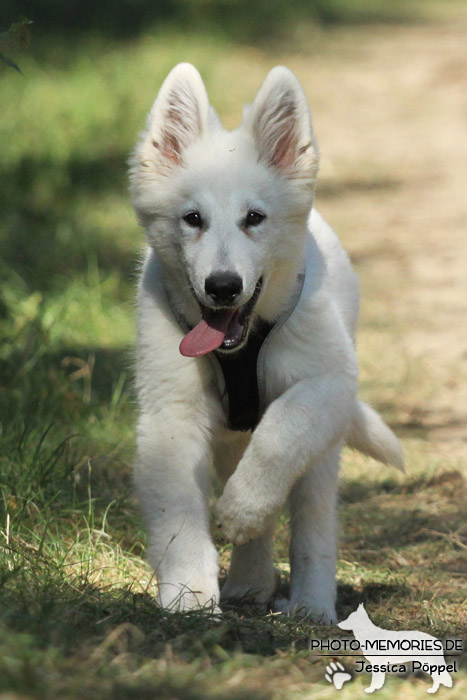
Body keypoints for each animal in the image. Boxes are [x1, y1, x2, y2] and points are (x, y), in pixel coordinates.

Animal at [130, 64, 404, 624]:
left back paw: (311, 605)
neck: (243, 344)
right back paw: (250, 583)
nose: (222, 287)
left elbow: (282, 431)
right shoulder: (171, 414)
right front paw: (189, 597)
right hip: (230, 435)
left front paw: (241, 508)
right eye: (193, 218)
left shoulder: (328, 383)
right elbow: (178, 515)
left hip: (325, 450)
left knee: (312, 523)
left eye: (254, 218)